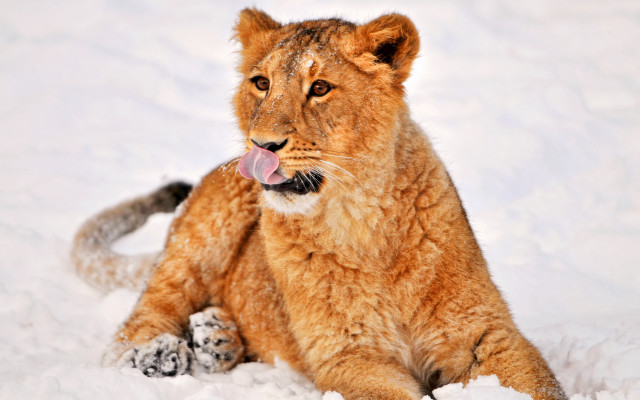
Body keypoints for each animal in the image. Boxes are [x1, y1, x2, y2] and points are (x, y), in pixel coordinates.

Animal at [72, 9, 567, 400]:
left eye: (321, 88)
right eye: (261, 83)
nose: (262, 145)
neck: (361, 220)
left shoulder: (486, 333)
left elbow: (539, 384)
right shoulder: (348, 356)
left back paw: (217, 339)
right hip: (197, 241)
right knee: (135, 323)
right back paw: (158, 355)